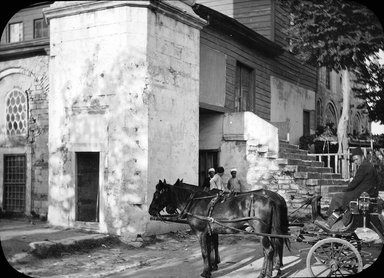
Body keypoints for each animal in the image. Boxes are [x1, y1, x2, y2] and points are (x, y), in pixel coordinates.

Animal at [148, 179, 290, 276]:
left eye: (157, 195)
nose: (150, 210)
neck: (195, 202)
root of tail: (273, 199)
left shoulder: (201, 233)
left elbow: (205, 252)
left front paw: (207, 271)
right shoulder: (211, 232)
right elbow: (212, 246)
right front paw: (213, 265)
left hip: (261, 231)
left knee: (269, 250)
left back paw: (267, 273)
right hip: (269, 231)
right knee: (272, 248)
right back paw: (271, 269)